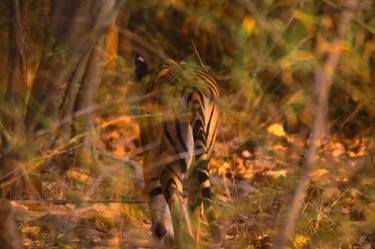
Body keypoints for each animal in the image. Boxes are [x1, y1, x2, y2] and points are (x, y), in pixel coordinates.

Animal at [134, 55, 223, 249]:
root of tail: (195, 89)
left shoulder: (151, 159)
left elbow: (157, 198)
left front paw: (161, 234)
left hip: (172, 158)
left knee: (174, 196)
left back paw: (182, 239)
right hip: (200, 156)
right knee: (195, 203)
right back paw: (192, 240)